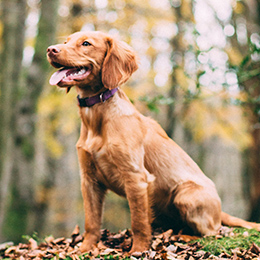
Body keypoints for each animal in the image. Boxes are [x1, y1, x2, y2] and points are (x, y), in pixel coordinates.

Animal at [47, 31, 260, 253]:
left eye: (86, 43)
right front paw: (85, 249)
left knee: (213, 232)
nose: (50, 49)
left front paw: (138, 250)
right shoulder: (89, 179)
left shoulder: (136, 177)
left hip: (186, 195)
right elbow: (92, 221)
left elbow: (139, 221)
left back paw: (183, 236)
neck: (96, 118)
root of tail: (220, 210)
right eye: (66, 42)